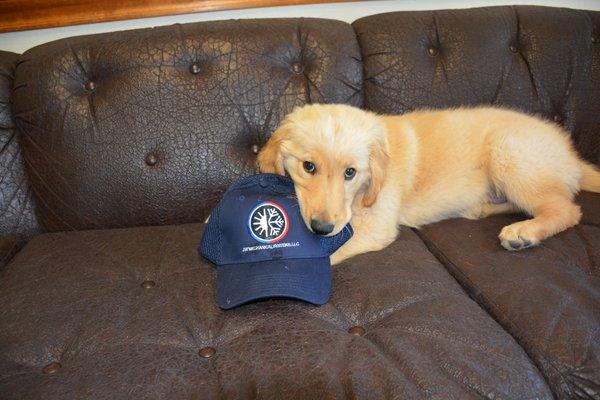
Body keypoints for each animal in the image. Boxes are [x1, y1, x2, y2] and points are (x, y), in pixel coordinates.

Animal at [258, 104, 600, 264]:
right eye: (308, 167)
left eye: (350, 173)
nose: (321, 228)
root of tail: (571, 154)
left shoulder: (374, 226)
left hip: (509, 152)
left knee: (566, 210)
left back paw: (524, 232)